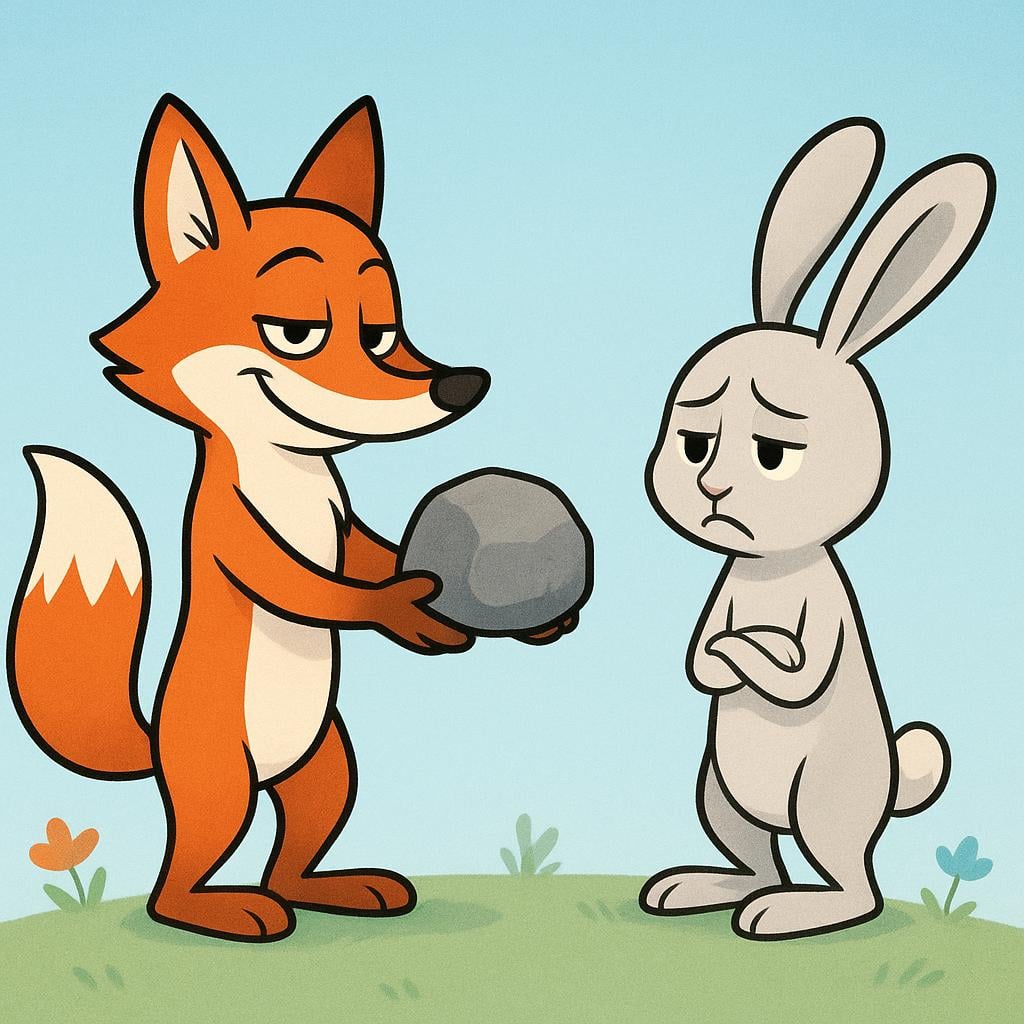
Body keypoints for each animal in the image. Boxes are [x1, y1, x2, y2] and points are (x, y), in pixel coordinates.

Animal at [8, 95, 573, 942]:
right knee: (180, 876)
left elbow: (368, 552)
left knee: (297, 844)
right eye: (296, 331)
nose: (461, 385)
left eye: (382, 331)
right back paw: (223, 910)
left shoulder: (341, 518)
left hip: (326, 766)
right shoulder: (230, 529)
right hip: (219, 778)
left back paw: (330, 888)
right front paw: (399, 610)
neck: (293, 467)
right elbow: (303, 583)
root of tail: (158, 740)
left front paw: (530, 618)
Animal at [639, 117, 994, 940]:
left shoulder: (827, 612)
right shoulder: (724, 587)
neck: (773, 563)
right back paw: (710, 889)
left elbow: (795, 676)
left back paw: (794, 912)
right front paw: (726, 655)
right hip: (720, 794)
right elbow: (700, 660)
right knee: (758, 858)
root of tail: (889, 787)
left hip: (824, 803)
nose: (711, 489)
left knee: (855, 887)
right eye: (694, 444)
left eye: (773, 455)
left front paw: (749, 651)